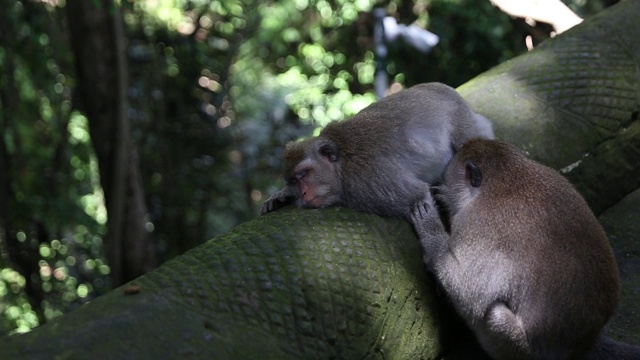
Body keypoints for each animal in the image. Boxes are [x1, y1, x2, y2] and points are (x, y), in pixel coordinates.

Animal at [260, 83, 496, 218]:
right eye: (294, 180)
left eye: (305, 174)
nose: (303, 192)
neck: (341, 163)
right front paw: (281, 195)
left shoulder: (367, 184)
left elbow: (417, 194)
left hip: (464, 123)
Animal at [410, 139, 640, 360]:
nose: (441, 188)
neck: (504, 177)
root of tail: (586, 343)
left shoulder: (476, 224)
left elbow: (470, 291)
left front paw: (431, 231)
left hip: (518, 346)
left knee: (494, 312)